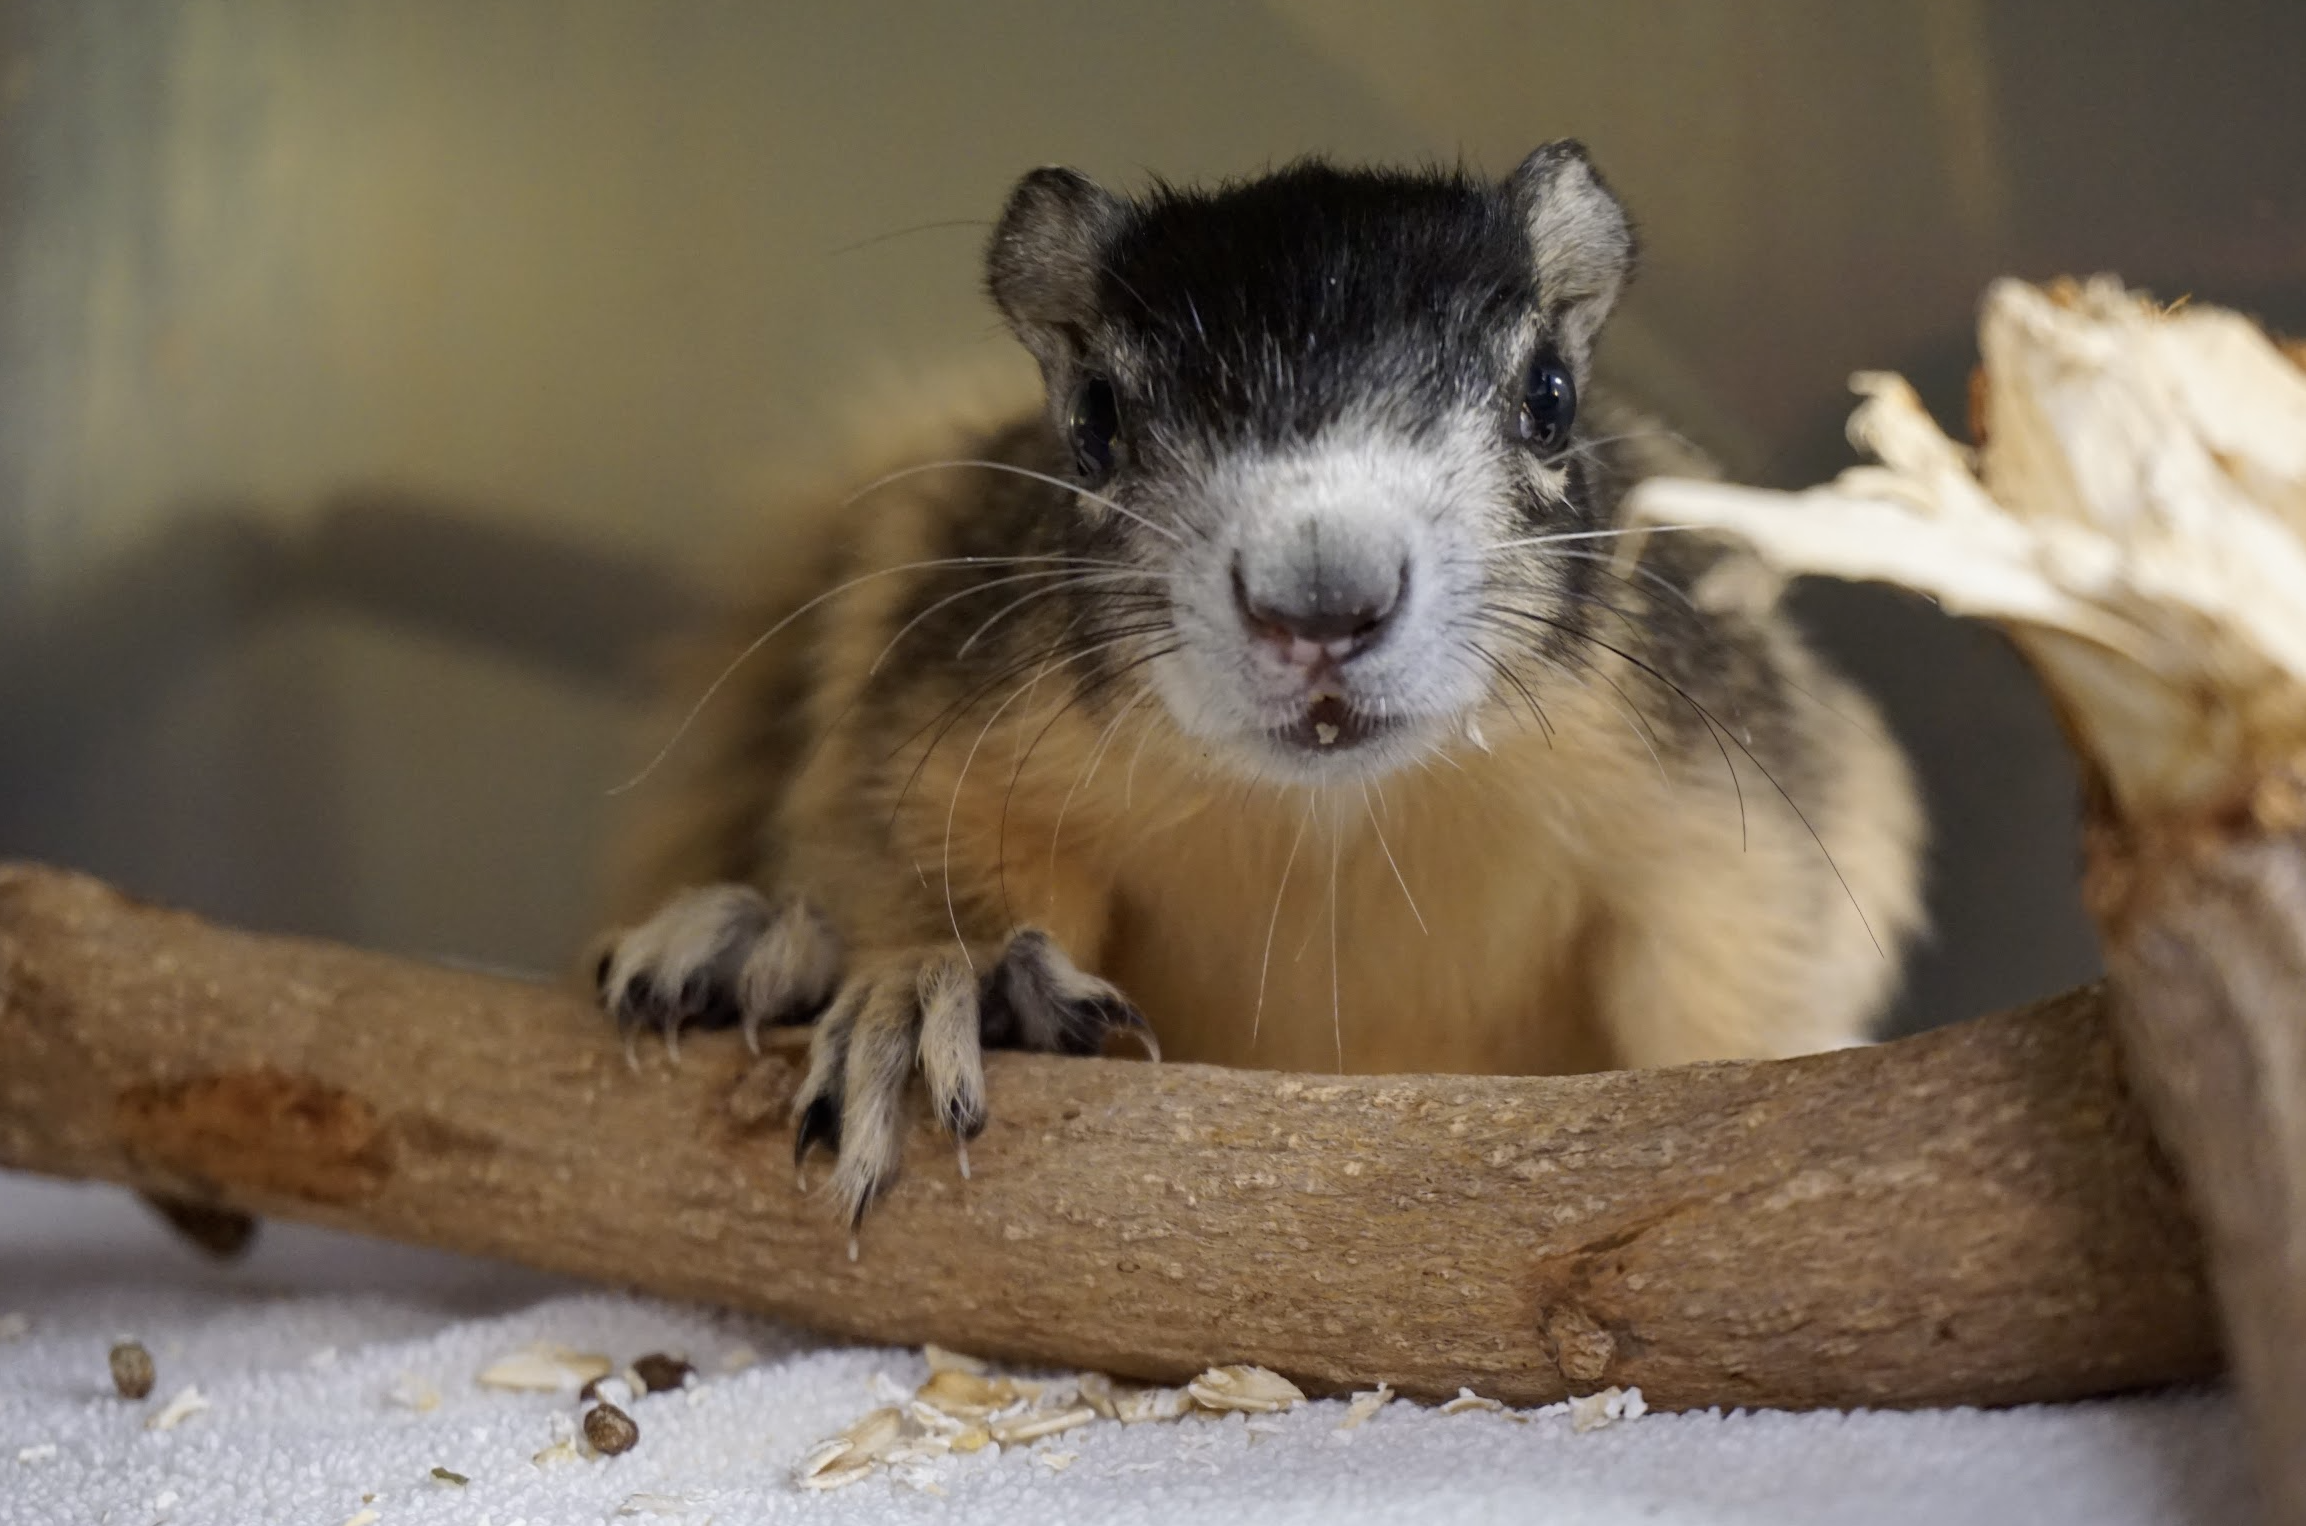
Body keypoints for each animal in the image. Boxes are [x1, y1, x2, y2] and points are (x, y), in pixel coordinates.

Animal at [592, 142, 1927, 1228]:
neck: (1333, 825)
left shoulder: (1725, 813)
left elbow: (1734, 973)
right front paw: (923, 997)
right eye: (1093, 418)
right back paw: (754, 946)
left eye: (1549, 396)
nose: (1320, 600)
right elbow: (922, 858)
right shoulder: (934, 718)